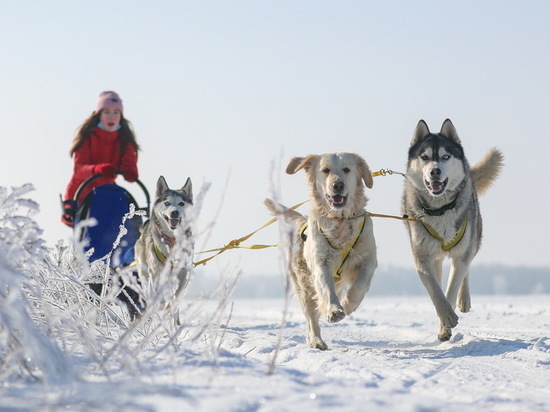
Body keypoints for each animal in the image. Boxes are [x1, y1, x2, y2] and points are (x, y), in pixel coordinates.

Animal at [268, 153, 380, 350]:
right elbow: (326, 289)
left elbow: (359, 287)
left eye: (346, 169)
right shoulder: (321, 262)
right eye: (325, 170)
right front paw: (334, 310)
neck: (340, 221)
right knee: (311, 317)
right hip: (304, 286)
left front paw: (347, 305)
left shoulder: (368, 259)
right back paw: (316, 341)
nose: (338, 185)